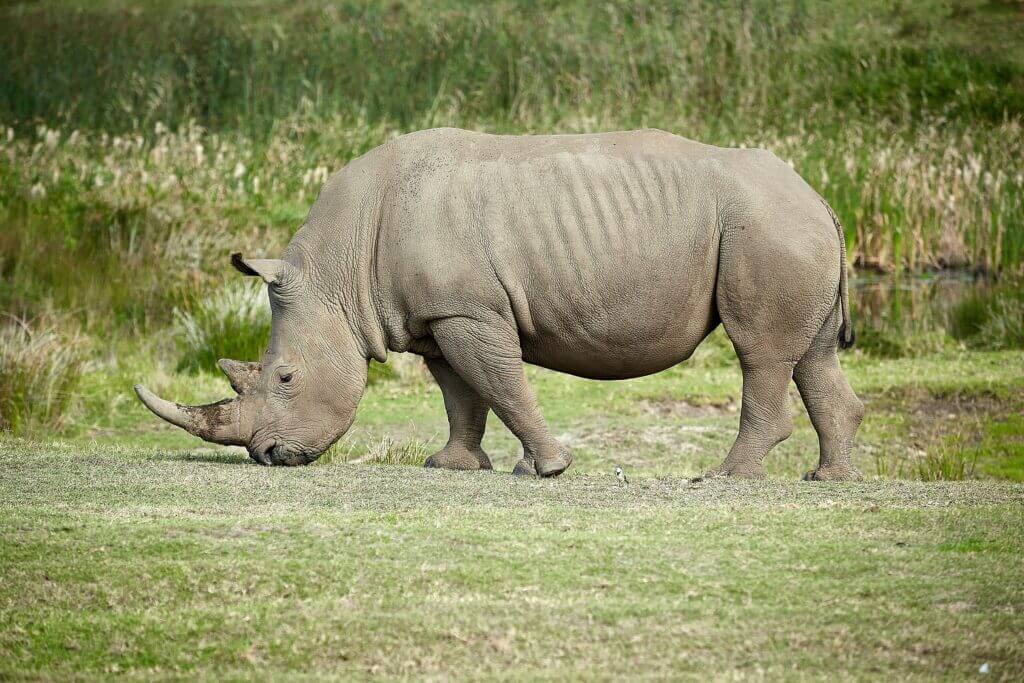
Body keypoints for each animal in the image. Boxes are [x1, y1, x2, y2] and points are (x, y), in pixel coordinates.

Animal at [136, 128, 865, 480]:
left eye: (285, 377)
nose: (268, 456)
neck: (337, 273)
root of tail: (820, 194)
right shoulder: (436, 315)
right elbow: (462, 393)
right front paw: (453, 466)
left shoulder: (467, 309)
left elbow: (501, 383)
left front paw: (547, 468)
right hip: (786, 224)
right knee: (812, 354)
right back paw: (828, 479)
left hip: (765, 225)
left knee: (759, 351)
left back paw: (724, 479)